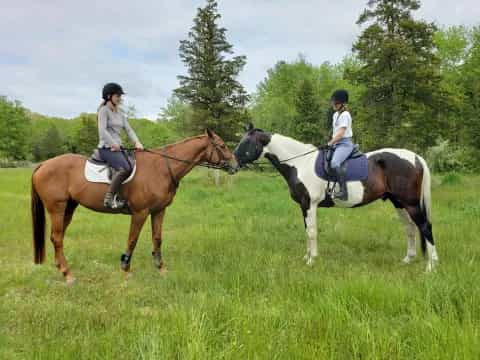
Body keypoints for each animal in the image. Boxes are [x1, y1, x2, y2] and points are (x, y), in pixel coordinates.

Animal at [31, 129, 238, 284]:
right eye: (222, 146)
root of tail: (43, 165)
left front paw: (161, 268)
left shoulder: (159, 211)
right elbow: (132, 239)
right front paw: (126, 270)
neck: (162, 168)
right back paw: (68, 275)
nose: (236, 166)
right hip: (57, 208)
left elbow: (157, 238)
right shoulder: (140, 212)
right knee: (58, 238)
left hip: (69, 207)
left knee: (56, 238)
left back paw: (61, 268)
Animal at [234, 125, 440, 272]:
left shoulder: (309, 204)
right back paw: (408, 259)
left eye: (245, 143)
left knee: (425, 227)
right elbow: (307, 230)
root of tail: (415, 157)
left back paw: (431, 266)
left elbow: (311, 232)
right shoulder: (303, 206)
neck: (300, 163)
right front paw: (307, 257)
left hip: (410, 203)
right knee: (410, 228)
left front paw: (312, 260)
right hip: (398, 202)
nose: (232, 163)